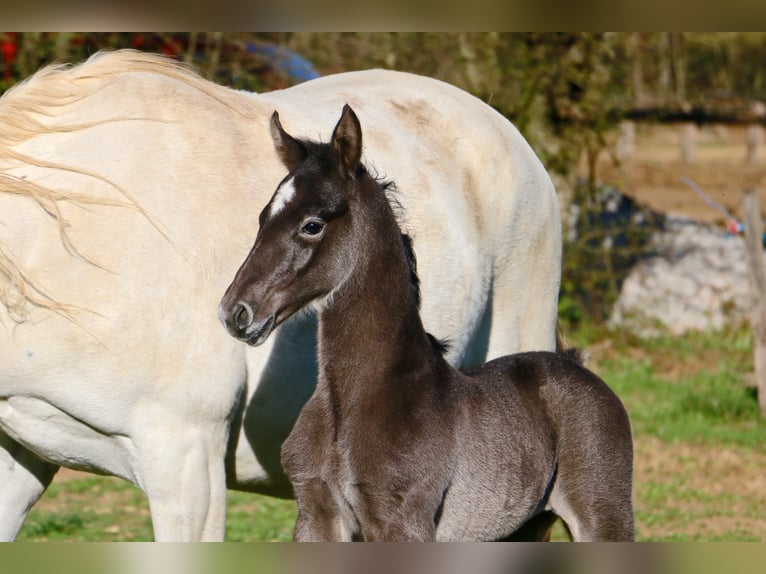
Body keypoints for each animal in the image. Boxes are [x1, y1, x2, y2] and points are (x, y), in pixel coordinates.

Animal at [218, 106, 636, 544]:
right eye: (263, 217)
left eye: (312, 224)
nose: (237, 311)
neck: (351, 404)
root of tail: (575, 363)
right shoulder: (317, 515)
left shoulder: (402, 523)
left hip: (603, 515)